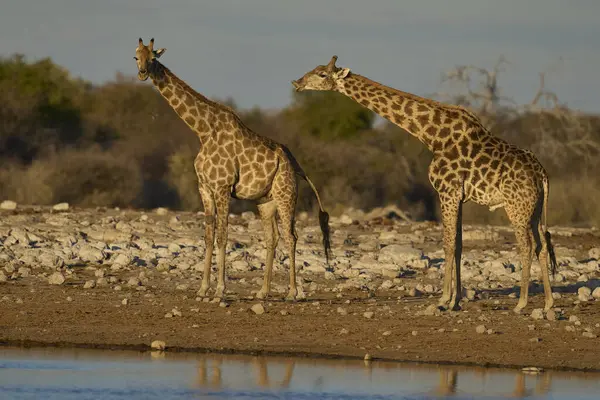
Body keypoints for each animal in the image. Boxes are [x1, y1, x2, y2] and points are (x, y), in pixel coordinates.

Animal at [135, 38, 332, 300]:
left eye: (152, 58)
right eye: (136, 57)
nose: (142, 73)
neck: (203, 131)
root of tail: (295, 164)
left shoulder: (222, 187)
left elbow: (222, 236)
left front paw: (220, 290)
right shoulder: (204, 188)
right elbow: (208, 237)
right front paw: (202, 289)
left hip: (286, 194)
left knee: (291, 236)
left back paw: (292, 292)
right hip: (265, 200)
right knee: (272, 237)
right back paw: (263, 291)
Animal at [290, 56, 556, 312]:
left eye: (322, 74)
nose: (297, 82)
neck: (433, 137)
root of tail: (542, 174)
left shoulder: (447, 192)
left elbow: (448, 245)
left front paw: (443, 300)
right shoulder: (458, 197)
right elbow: (458, 245)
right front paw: (455, 301)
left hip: (516, 207)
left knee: (527, 246)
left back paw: (521, 304)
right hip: (534, 209)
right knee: (542, 244)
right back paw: (548, 304)